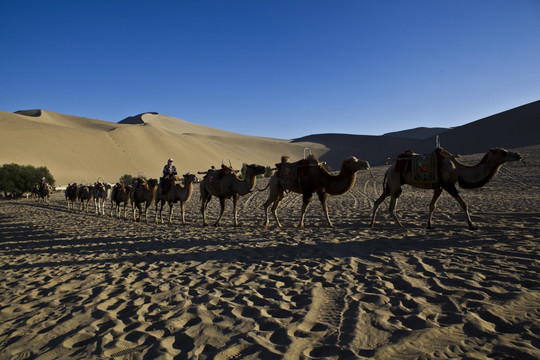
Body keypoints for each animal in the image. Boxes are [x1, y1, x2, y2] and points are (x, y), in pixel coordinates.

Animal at [372, 147, 524, 229]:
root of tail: (388, 170)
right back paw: (401, 225)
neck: (459, 169)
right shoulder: (448, 185)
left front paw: (429, 225)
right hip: (395, 182)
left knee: (378, 201)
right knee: (391, 206)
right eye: (503, 152)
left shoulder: (439, 187)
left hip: (390, 185)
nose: (518, 155)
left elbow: (432, 206)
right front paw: (472, 225)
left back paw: (372, 224)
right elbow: (464, 204)